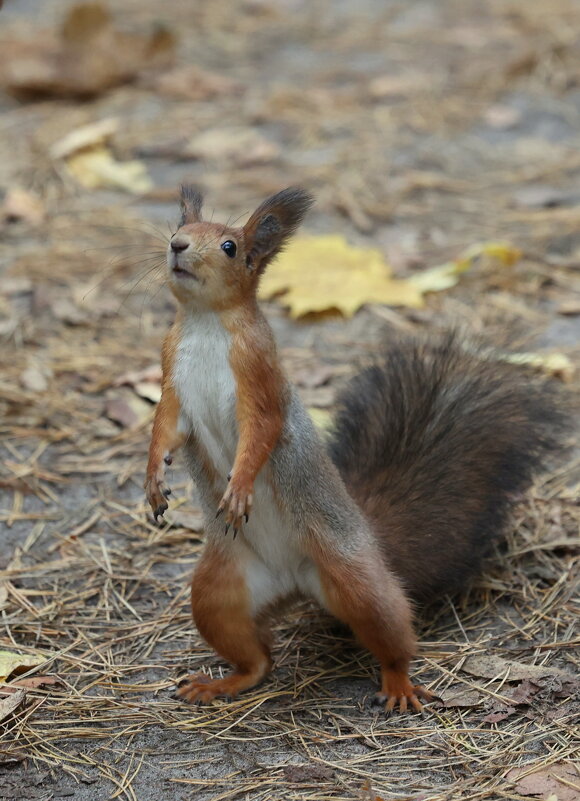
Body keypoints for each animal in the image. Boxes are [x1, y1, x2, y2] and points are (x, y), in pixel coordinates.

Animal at [145, 184, 568, 708]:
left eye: (230, 247)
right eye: (179, 228)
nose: (177, 245)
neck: (205, 323)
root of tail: (294, 582)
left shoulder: (261, 377)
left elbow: (261, 432)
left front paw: (239, 486)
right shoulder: (171, 376)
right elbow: (165, 429)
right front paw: (153, 479)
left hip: (355, 579)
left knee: (392, 631)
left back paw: (398, 681)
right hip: (217, 591)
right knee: (257, 658)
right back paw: (222, 682)